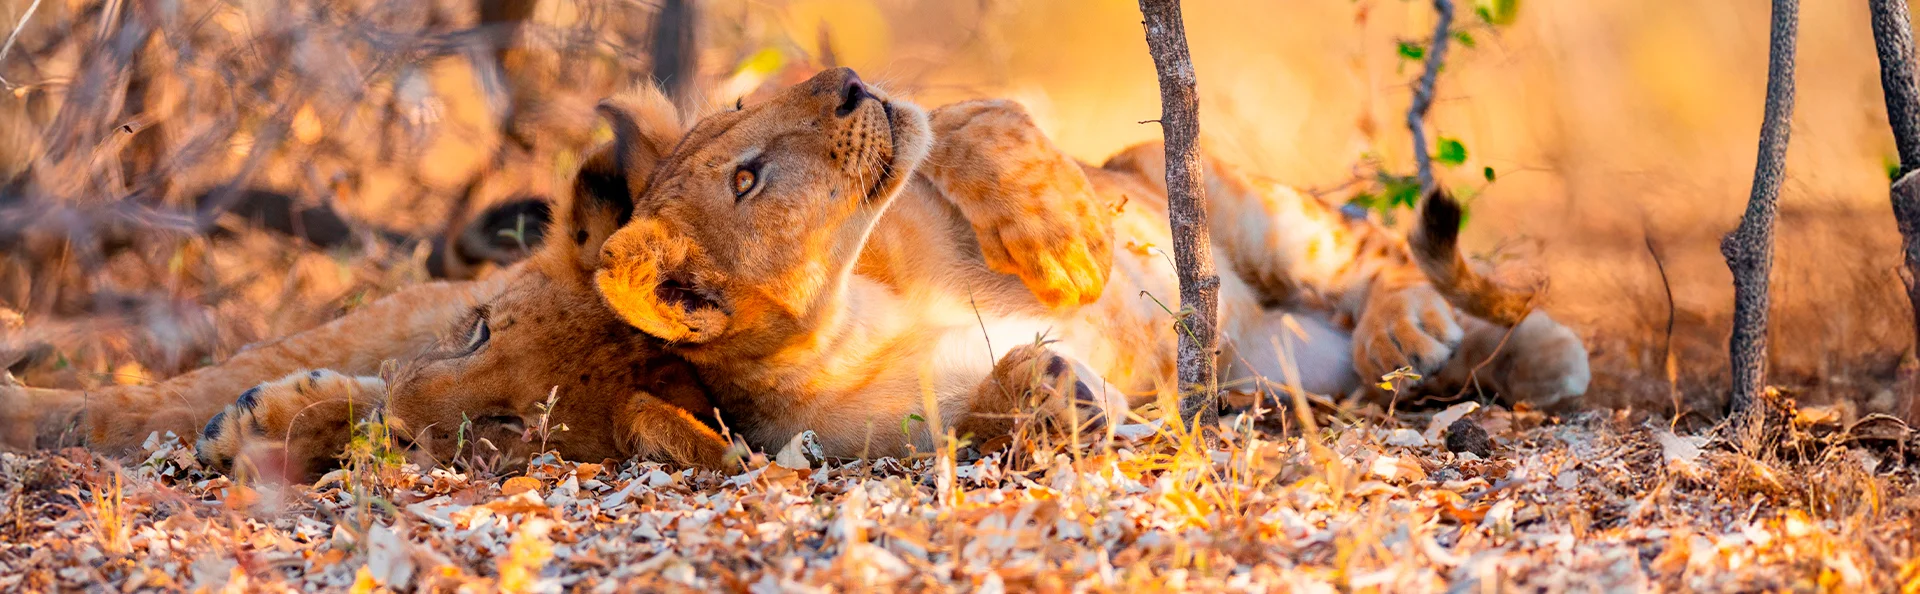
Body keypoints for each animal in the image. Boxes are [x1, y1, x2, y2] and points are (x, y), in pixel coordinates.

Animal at [593, 67, 1591, 459]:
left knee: (1381, 257)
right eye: (747, 177)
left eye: (746, 105)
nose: (846, 83)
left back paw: (1416, 327)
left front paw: (1067, 247)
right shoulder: (869, 441)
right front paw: (1053, 388)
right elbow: (978, 421)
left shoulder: (941, 147)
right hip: (1282, 361)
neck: (857, 305)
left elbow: (973, 119)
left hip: (1232, 201)